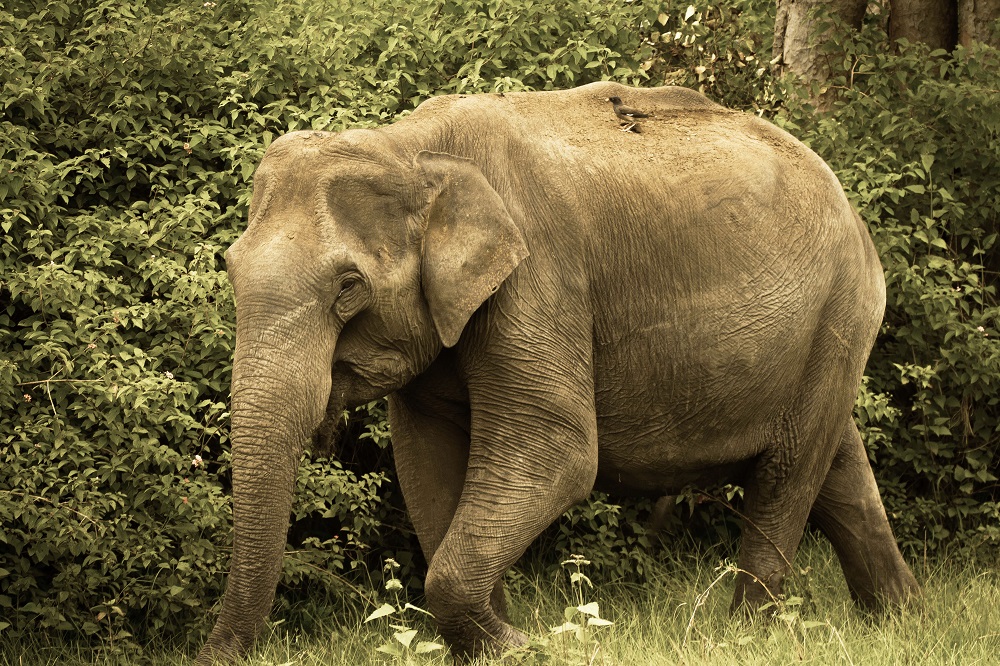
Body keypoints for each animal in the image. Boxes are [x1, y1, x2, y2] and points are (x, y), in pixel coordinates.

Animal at [193, 81, 916, 660]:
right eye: (228, 266)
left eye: (348, 288)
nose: (213, 655)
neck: (411, 148)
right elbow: (425, 466)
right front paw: (496, 645)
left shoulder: (539, 277)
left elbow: (555, 451)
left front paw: (526, 646)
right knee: (837, 465)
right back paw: (899, 618)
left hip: (840, 309)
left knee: (787, 473)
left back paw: (747, 637)